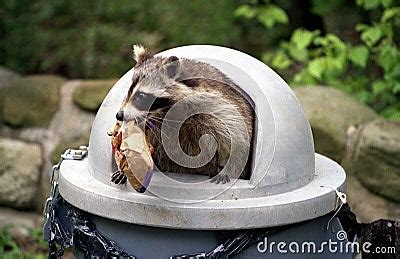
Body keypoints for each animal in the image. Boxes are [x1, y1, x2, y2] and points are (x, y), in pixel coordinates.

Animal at [115, 46, 253, 185]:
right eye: (128, 92)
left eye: (141, 96)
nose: (119, 115)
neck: (164, 112)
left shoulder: (218, 107)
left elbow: (236, 139)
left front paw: (228, 169)